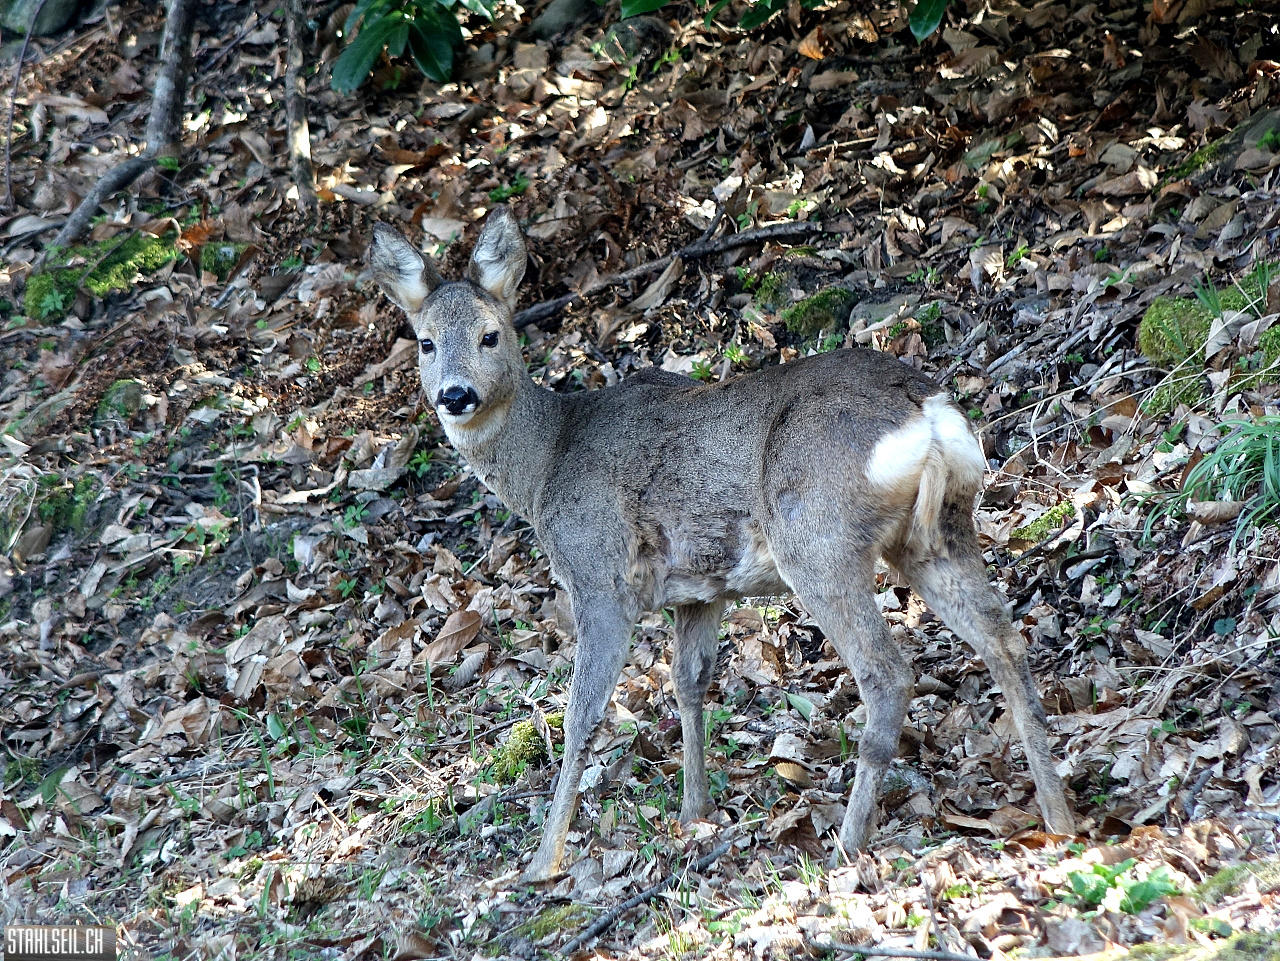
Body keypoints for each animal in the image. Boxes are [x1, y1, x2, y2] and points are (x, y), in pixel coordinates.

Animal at [366, 208, 1075, 880]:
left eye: (491, 335)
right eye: (426, 343)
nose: (455, 395)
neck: (546, 466)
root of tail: (928, 414)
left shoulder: (599, 580)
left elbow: (581, 715)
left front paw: (544, 862)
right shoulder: (698, 591)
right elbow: (689, 683)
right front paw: (694, 812)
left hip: (817, 539)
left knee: (889, 673)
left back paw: (849, 844)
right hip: (937, 532)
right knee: (1004, 640)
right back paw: (1058, 818)